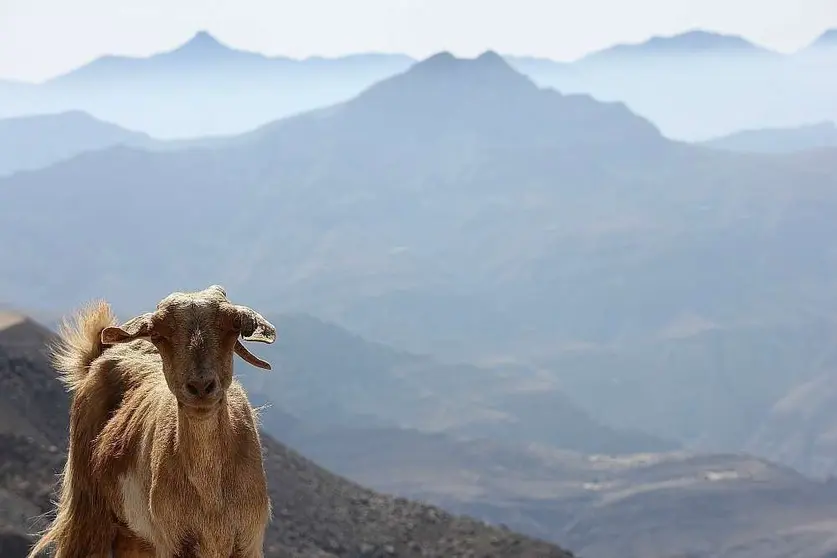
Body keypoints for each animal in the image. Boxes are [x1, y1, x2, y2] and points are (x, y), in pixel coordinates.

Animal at [28, 286, 274, 558]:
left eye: (233, 326)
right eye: (157, 333)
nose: (200, 386)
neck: (210, 491)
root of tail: (98, 355)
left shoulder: (248, 542)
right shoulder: (172, 542)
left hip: (134, 537)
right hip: (88, 510)